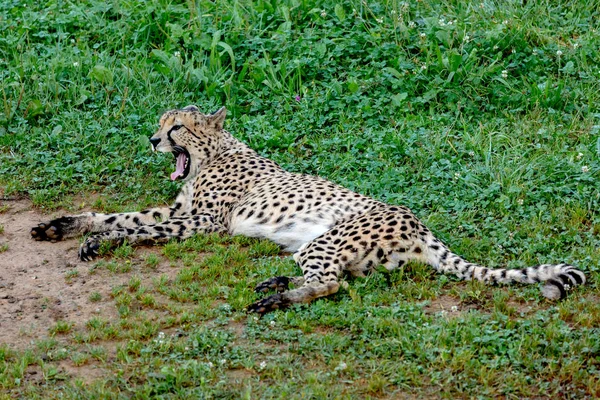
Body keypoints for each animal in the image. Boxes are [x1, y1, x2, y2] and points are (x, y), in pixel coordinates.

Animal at [31, 105, 584, 312]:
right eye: (160, 125)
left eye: (176, 128)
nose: (151, 140)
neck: (215, 152)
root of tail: (418, 223)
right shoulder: (177, 211)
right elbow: (116, 214)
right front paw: (65, 226)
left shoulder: (204, 223)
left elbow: (133, 229)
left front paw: (101, 241)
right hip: (323, 248)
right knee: (338, 277)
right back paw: (276, 283)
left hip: (327, 240)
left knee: (332, 283)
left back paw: (276, 298)